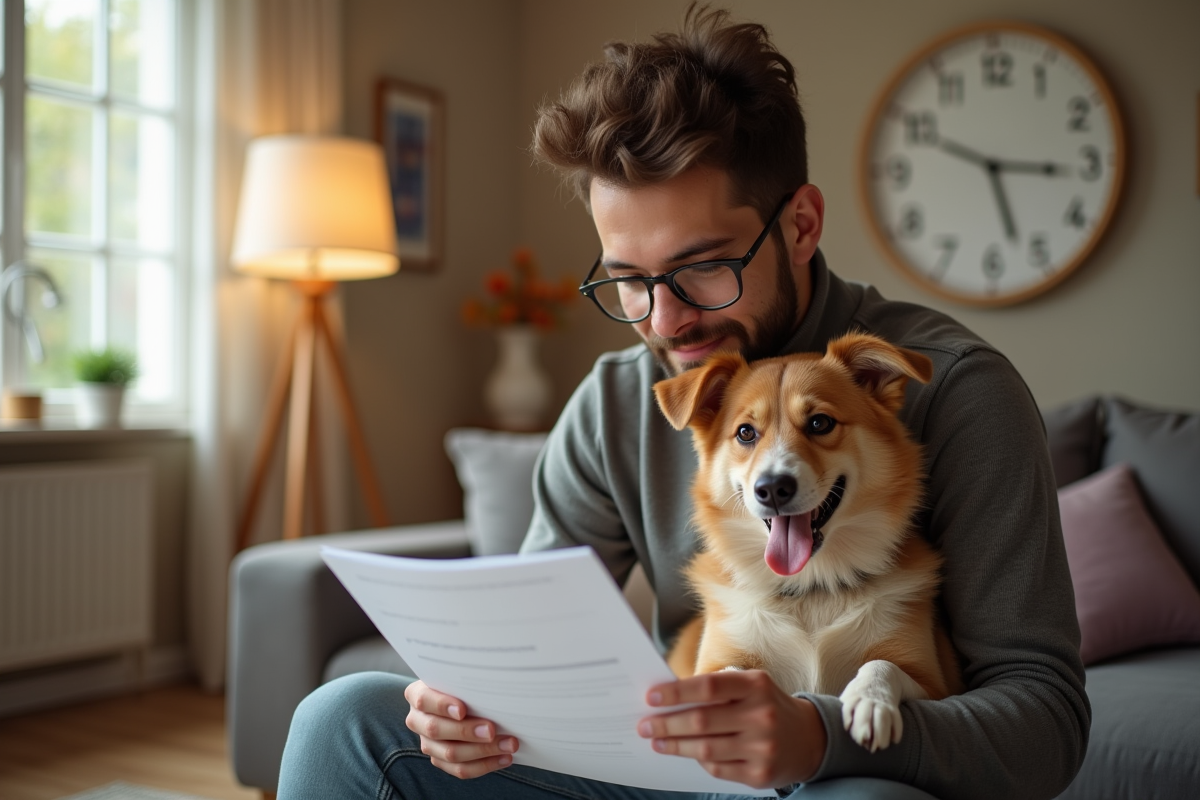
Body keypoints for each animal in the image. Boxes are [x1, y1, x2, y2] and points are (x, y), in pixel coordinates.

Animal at [652, 331, 960, 753]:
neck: (811, 587)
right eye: (745, 432)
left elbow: (881, 664)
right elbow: (724, 675)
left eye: (820, 422)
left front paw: (870, 700)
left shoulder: (937, 685)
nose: (772, 488)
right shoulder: (717, 659)